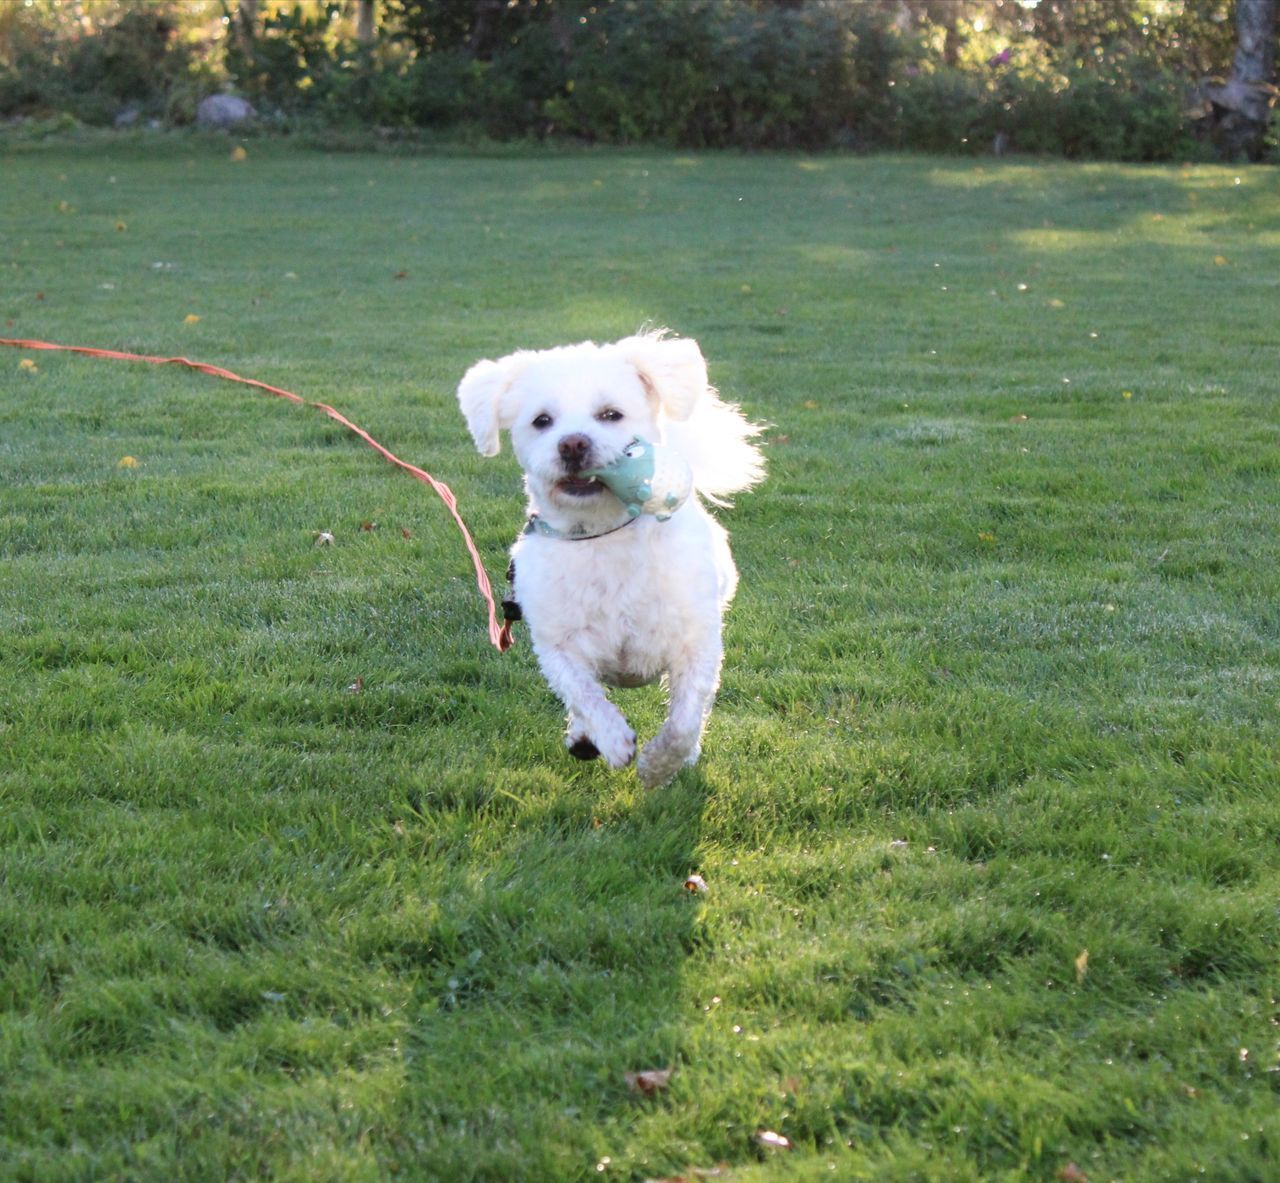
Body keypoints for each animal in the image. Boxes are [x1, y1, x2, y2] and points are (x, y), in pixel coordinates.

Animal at [458, 330, 762, 783]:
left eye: (610, 414)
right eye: (542, 421)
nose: (572, 443)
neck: (602, 536)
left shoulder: (697, 644)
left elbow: (684, 721)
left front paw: (659, 765)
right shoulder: (557, 646)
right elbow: (582, 692)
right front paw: (612, 738)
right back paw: (583, 737)